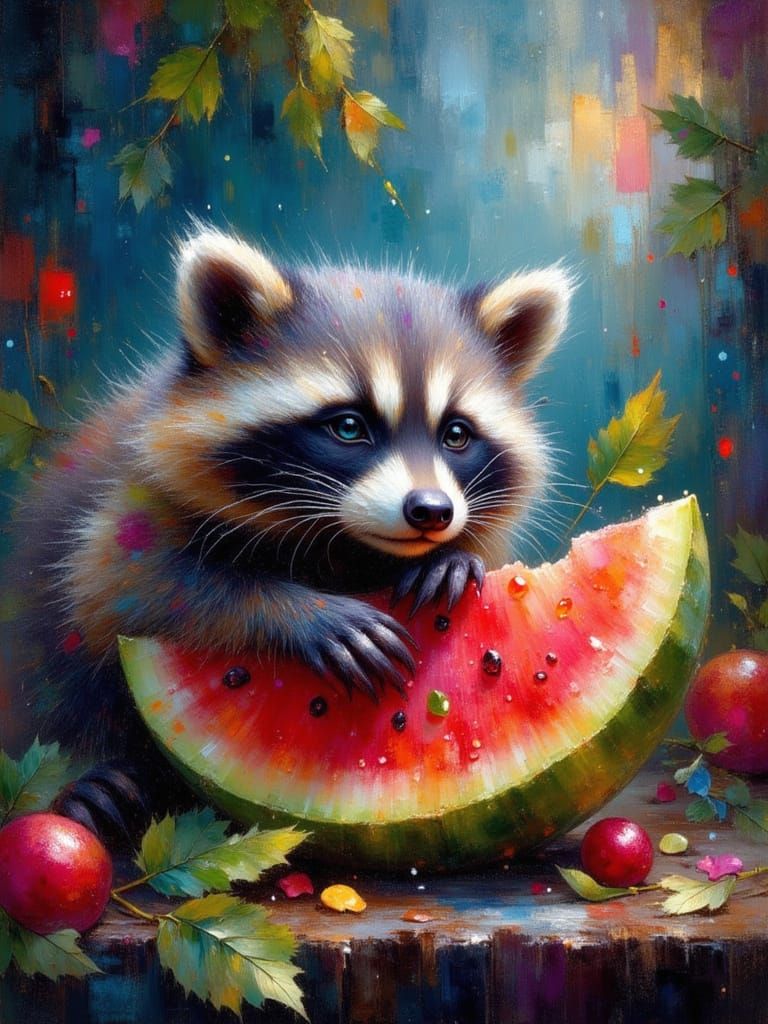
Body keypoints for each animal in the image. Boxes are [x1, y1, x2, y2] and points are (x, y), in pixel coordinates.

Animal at [11, 228, 572, 834]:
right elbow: (122, 588)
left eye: (456, 434)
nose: (431, 511)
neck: (344, 542)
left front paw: (452, 559)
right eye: (348, 427)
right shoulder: (130, 498)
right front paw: (301, 611)